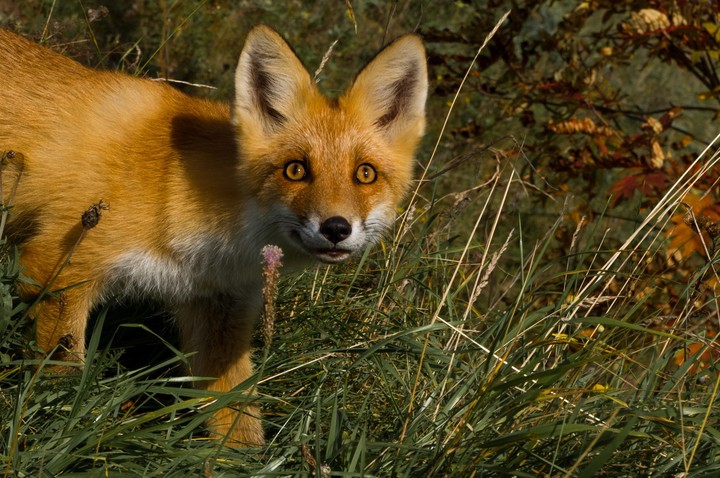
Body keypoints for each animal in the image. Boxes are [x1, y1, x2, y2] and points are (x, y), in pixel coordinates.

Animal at [0, 25, 427, 446]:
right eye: (295, 170)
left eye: (365, 174)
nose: (336, 228)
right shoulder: (55, 271)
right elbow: (60, 384)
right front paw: (53, 436)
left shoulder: (220, 313)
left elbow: (239, 426)